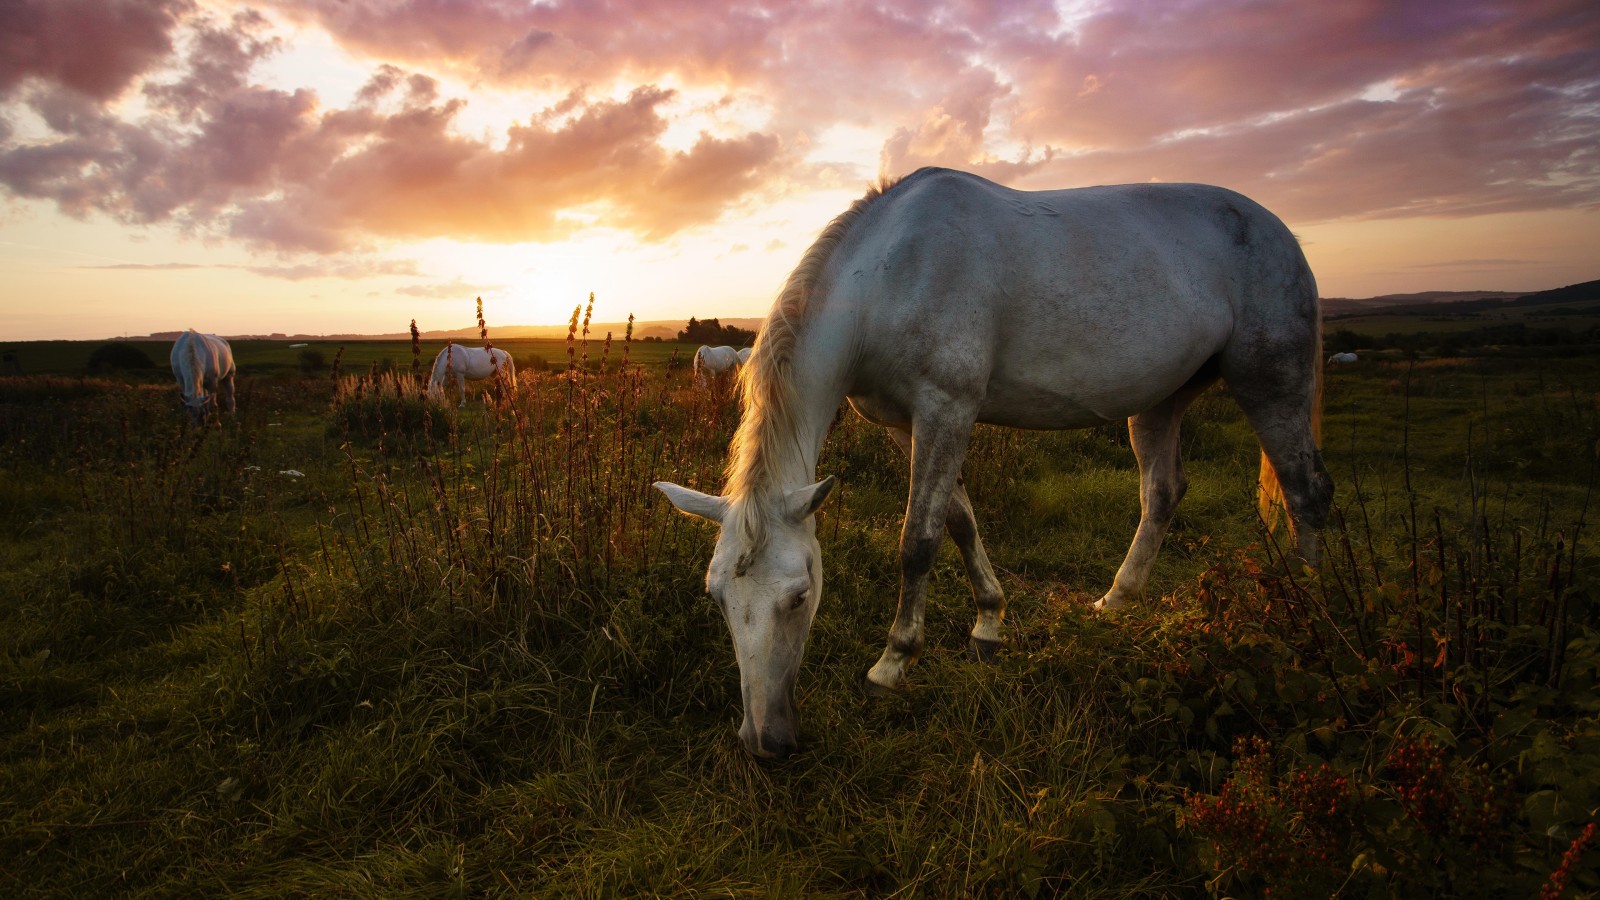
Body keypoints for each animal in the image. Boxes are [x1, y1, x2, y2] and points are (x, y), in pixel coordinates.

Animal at [656, 168, 1331, 755]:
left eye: (799, 595)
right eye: (716, 596)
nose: (763, 741)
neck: (892, 274)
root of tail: (1279, 232)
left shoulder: (946, 408)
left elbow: (919, 539)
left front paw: (892, 664)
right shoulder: (907, 423)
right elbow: (959, 520)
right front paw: (989, 624)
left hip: (1271, 384)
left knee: (1306, 493)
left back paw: (1311, 627)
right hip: (1161, 401)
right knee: (1163, 493)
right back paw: (1117, 601)